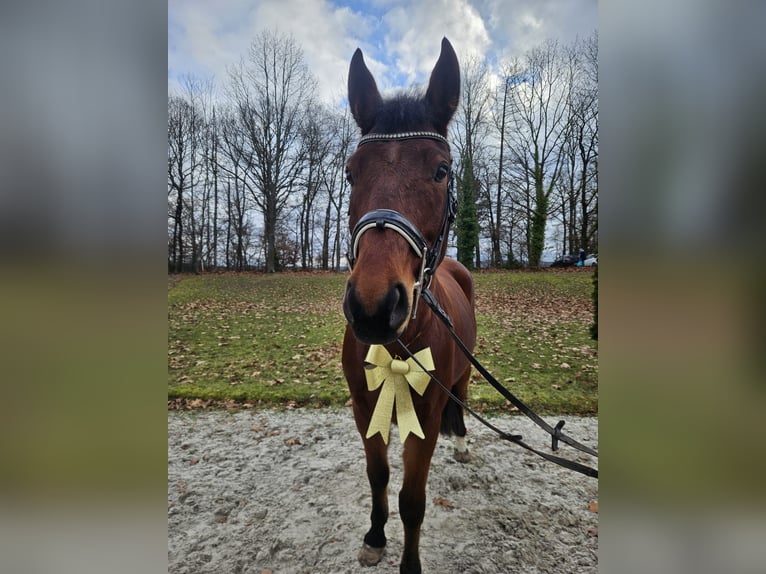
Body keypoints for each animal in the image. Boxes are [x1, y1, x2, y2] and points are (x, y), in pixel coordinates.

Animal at [341, 38, 477, 574]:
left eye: (441, 171)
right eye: (351, 173)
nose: (374, 306)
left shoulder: (427, 415)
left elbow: (413, 500)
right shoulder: (365, 408)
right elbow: (378, 477)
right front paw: (375, 536)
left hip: (460, 377)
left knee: (461, 397)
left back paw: (462, 443)